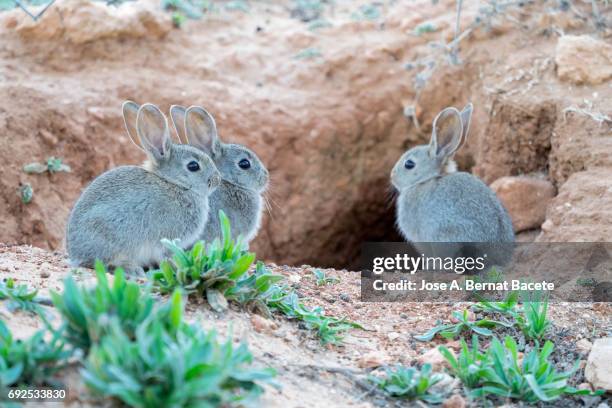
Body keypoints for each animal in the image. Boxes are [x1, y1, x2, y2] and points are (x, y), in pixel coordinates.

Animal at [65, 100, 222, 276]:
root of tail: (76, 253)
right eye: (193, 166)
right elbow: (165, 256)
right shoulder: (165, 239)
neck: (175, 183)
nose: (217, 179)